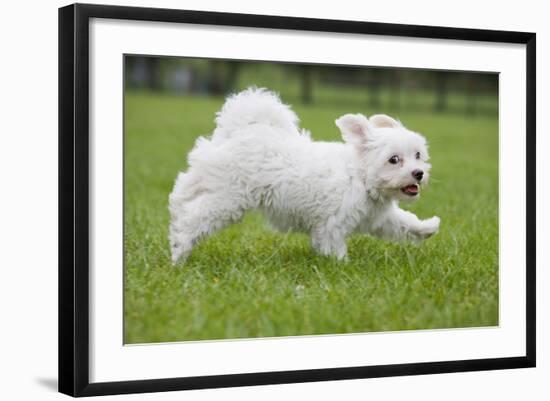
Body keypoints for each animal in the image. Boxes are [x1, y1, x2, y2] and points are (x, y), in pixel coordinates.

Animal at [170, 87, 442, 262]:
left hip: (211, 179)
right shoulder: (332, 225)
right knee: (194, 217)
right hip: (229, 198)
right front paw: (343, 267)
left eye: (418, 155)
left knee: (183, 191)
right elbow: (335, 248)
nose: (418, 173)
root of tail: (242, 130)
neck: (360, 177)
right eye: (394, 160)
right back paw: (179, 251)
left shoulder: (380, 218)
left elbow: (405, 223)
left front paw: (428, 228)